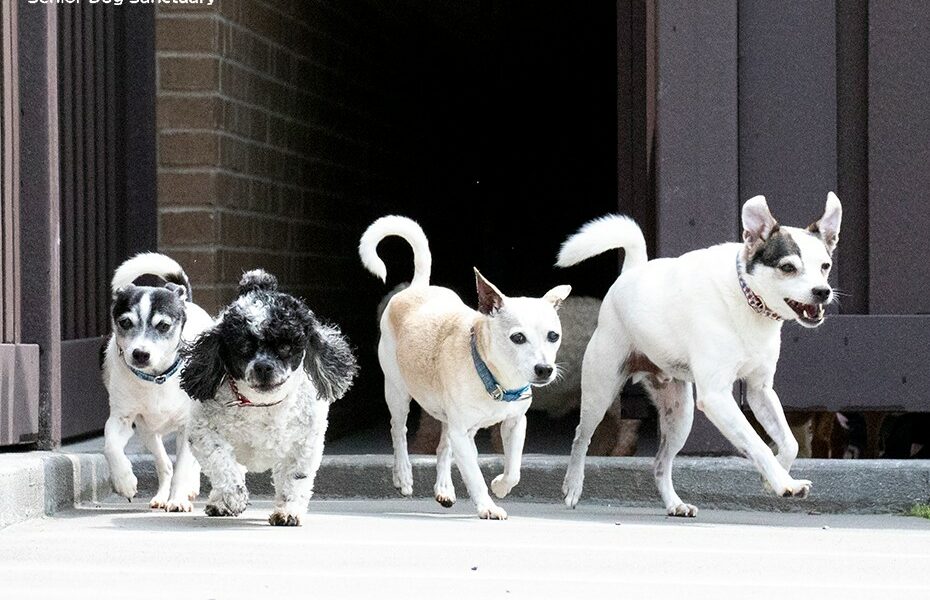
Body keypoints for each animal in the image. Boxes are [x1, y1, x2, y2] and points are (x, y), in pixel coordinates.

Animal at [103, 253, 212, 510]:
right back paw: (162, 496)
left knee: (193, 462)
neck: (156, 379)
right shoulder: (122, 419)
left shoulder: (186, 427)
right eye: (125, 322)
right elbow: (110, 445)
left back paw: (189, 490)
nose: (140, 354)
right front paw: (124, 481)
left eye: (163, 326)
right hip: (148, 432)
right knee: (165, 465)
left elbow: (183, 468)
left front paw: (178, 499)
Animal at [179, 270, 358, 528]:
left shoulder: (305, 443)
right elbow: (221, 462)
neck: (262, 407)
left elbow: (296, 478)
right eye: (243, 346)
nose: (263, 366)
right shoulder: (203, 432)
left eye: (285, 346)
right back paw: (220, 501)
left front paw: (288, 511)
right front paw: (233, 496)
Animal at [358, 217, 568, 520]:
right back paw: (404, 476)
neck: (496, 380)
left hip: (452, 420)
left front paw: (500, 486)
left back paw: (444, 488)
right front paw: (488, 506)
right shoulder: (461, 431)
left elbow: (514, 468)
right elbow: (475, 476)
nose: (544, 369)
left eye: (553, 336)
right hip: (397, 392)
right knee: (399, 431)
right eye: (517, 338)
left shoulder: (515, 424)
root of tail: (418, 286)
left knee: (444, 447)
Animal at [560, 192, 840, 516]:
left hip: (680, 415)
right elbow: (757, 443)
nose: (822, 291)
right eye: (788, 268)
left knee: (660, 463)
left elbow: (789, 443)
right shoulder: (718, 396)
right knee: (581, 436)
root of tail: (631, 273)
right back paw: (573, 486)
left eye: (825, 266)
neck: (749, 302)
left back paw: (675, 504)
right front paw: (784, 483)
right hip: (601, 391)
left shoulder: (760, 391)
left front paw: (773, 479)